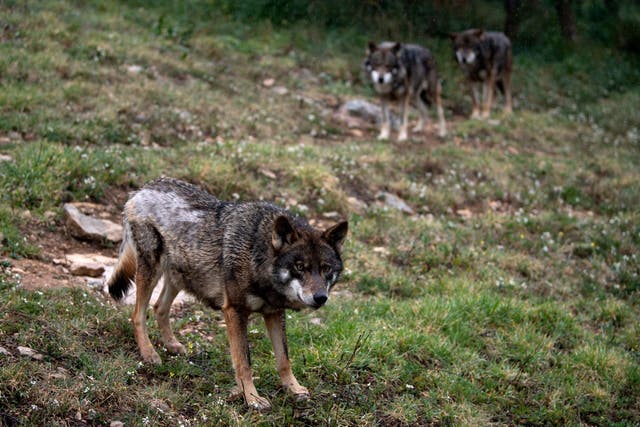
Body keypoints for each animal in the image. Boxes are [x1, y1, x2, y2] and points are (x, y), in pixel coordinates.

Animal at [106, 177, 348, 411]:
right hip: (151, 271)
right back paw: (149, 354)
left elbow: (284, 359)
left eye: (326, 269)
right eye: (299, 267)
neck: (256, 255)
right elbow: (244, 362)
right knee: (138, 315)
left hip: (179, 278)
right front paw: (252, 398)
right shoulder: (234, 311)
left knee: (159, 308)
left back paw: (172, 345)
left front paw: (294, 389)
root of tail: (142, 188)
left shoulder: (274, 313)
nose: (320, 297)